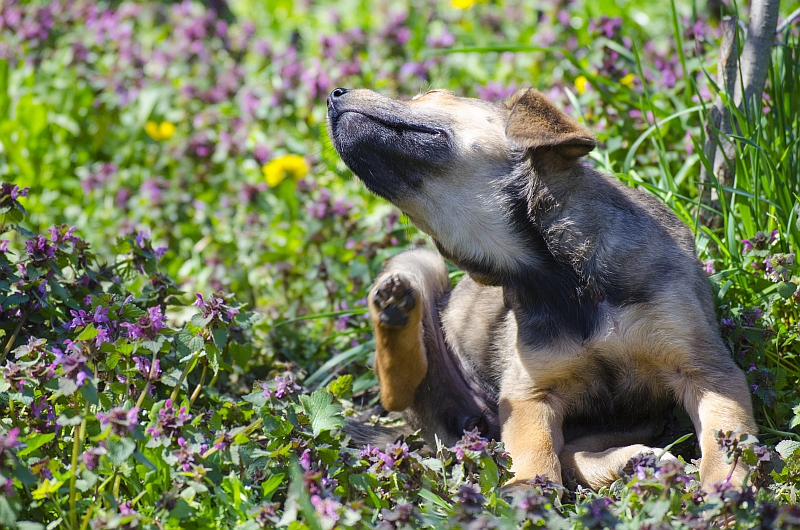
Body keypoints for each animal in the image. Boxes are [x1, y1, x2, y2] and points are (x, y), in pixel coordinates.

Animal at [324, 85, 756, 486]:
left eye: (431, 94)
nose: (332, 94)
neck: (557, 275)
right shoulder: (529, 395)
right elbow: (536, 455)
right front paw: (528, 495)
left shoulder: (706, 371)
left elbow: (724, 442)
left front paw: (723, 492)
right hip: (421, 264)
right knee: (395, 390)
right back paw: (394, 308)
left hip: (635, 420)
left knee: (573, 452)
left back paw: (637, 462)